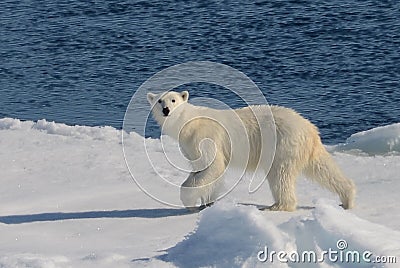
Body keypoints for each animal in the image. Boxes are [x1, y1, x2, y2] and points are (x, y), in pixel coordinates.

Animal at [147, 90, 356, 211]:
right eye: (159, 101)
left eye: (173, 100)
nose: (166, 110)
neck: (190, 123)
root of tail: (309, 128)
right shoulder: (190, 146)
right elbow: (202, 170)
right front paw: (206, 202)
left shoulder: (205, 137)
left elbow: (213, 166)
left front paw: (189, 202)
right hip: (302, 148)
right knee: (322, 168)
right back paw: (347, 198)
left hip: (282, 145)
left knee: (280, 175)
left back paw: (277, 206)